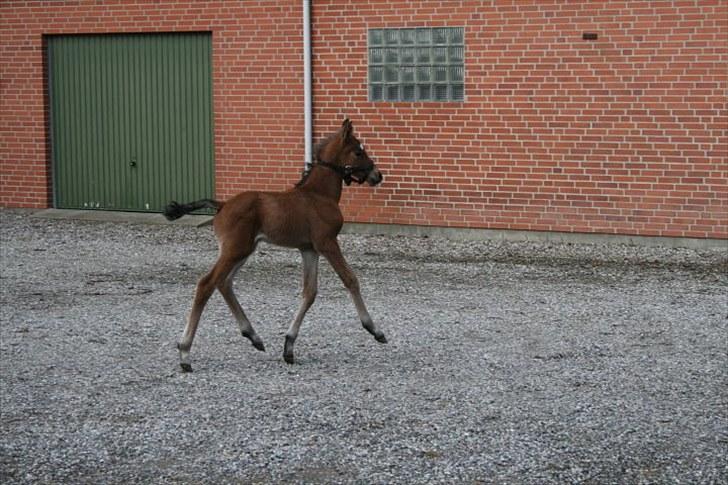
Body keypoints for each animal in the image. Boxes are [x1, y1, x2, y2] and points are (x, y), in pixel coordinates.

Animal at [164, 119, 386, 368]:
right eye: (358, 152)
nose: (378, 175)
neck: (319, 194)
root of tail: (222, 205)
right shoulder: (327, 243)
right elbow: (350, 279)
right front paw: (374, 329)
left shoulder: (309, 249)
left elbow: (310, 292)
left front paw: (288, 345)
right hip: (234, 250)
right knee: (206, 283)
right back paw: (185, 351)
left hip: (244, 249)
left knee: (224, 282)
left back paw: (253, 336)